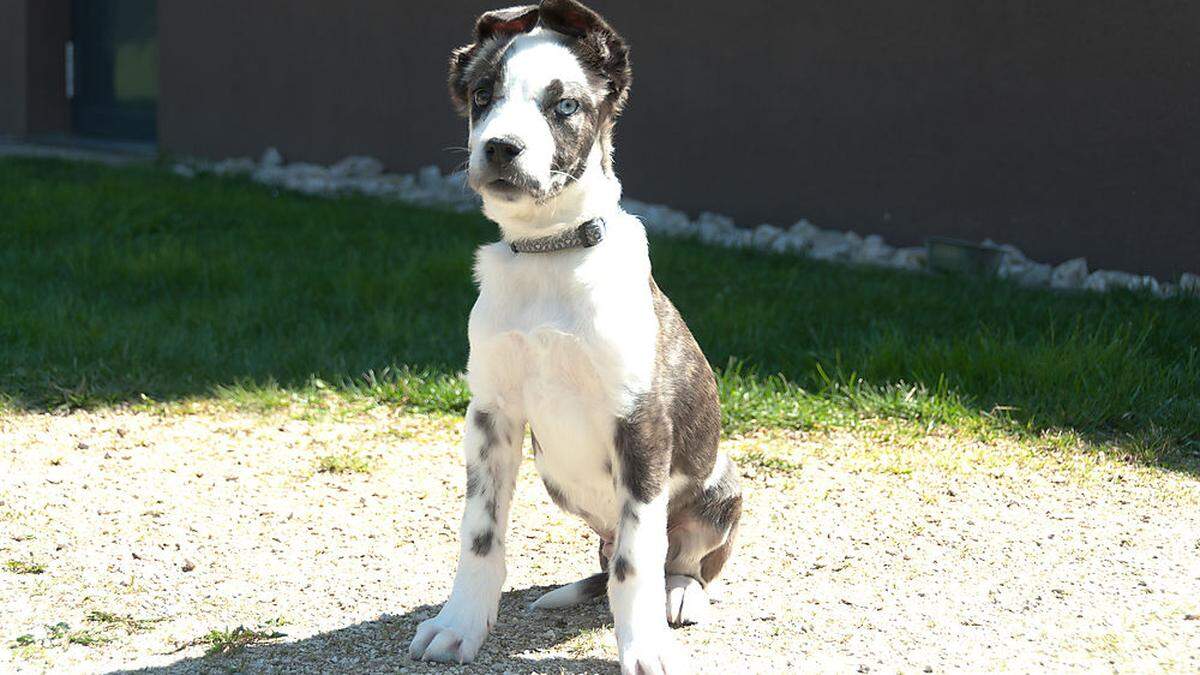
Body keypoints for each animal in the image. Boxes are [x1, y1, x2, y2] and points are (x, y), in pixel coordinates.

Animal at [412, 2, 739, 667]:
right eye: (482, 94)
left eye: (564, 105)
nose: (501, 148)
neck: (549, 253)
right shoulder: (491, 414)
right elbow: (480, 534)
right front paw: (459, 625)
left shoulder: (640, 422)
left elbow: (637, 560)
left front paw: (644, 646)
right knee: (609, 557)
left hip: (722, 483)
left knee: (678, 557)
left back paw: (680, 595)